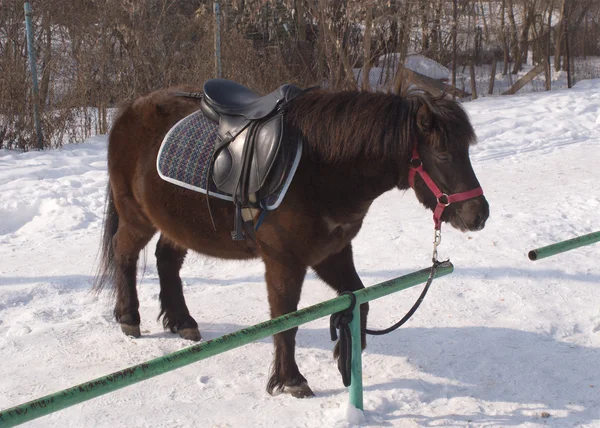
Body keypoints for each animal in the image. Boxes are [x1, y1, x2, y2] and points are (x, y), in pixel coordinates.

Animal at [94, 86, 488, 398]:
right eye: (442, 155)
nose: (479, 214)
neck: (320, 169)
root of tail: (131, 108)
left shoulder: (331, 254)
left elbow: (360, 301)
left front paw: (345, 354)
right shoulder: (285, 261)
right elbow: (286, 320)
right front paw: (290, 380)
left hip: (178, 223)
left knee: (166, 261)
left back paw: (181, 320)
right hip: (137, 218)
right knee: (124, 253)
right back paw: (129, 317)